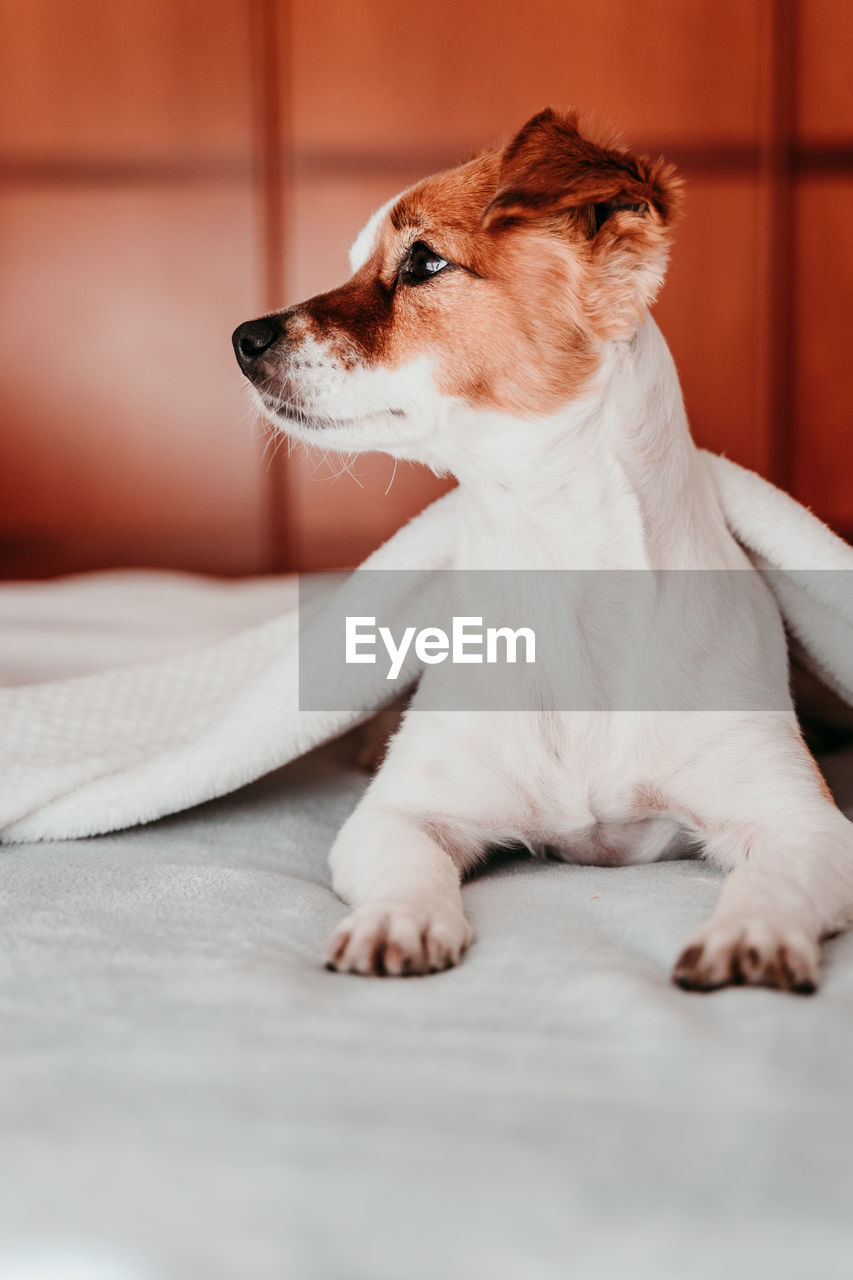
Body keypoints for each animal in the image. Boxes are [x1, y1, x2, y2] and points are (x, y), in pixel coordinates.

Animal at [230, 107, 850, 988]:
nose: (242, 337)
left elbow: (777, 876)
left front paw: (751, 931)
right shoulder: (397, 815)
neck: (554, 559)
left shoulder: (802, 820)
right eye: (356, 263)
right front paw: (396, 920)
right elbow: (406, 864)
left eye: (423, 261)